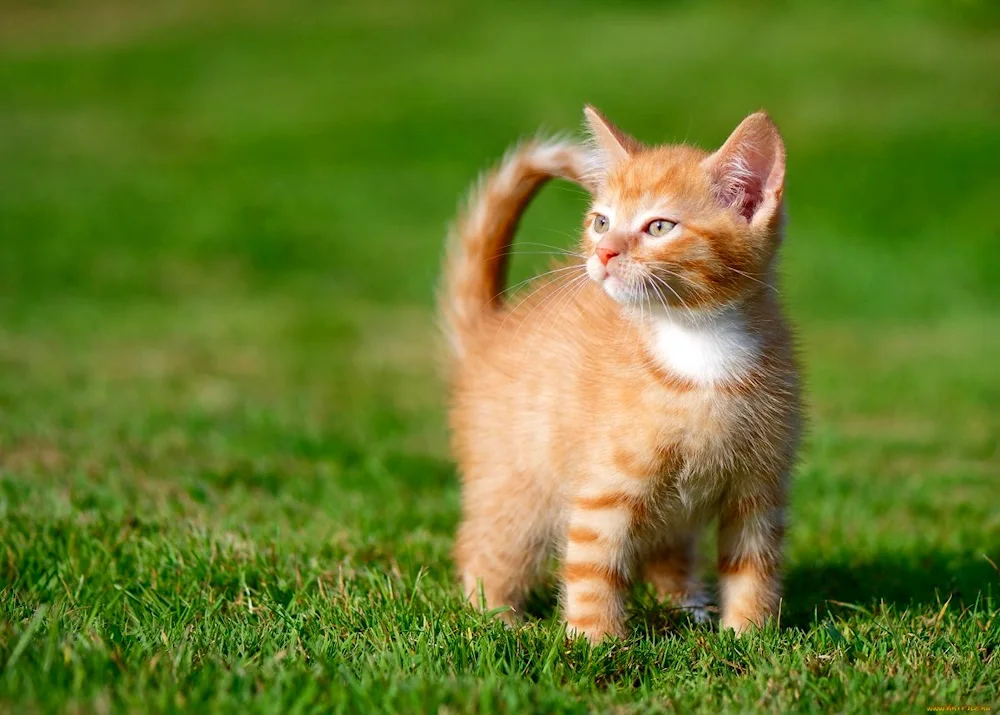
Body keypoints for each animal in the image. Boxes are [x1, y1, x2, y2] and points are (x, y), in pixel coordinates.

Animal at [442, 106, 800, 644]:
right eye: (601, 221)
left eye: (659, 227)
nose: (604, 252)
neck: (699, 346)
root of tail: (492, 330)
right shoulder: (602, 491)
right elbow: (593, 568)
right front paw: (596, 644)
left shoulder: (758, 489)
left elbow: (752, 567)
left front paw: (748, 639)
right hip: (515, 482)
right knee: (486, 547)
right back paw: (496, 619)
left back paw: (689, 608)